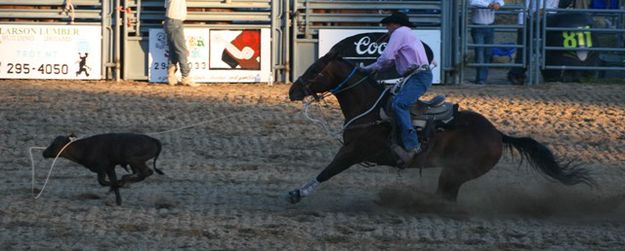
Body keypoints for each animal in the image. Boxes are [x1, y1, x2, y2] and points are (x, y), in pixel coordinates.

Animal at [286, 47, 592, 204]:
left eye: (315, 70)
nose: (292, 91)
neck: (369, 107)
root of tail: (497, 134)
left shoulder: (353, 151)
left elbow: (327, 171)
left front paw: (297, 193)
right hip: (454, 173)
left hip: (456, 172)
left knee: (445, 197)